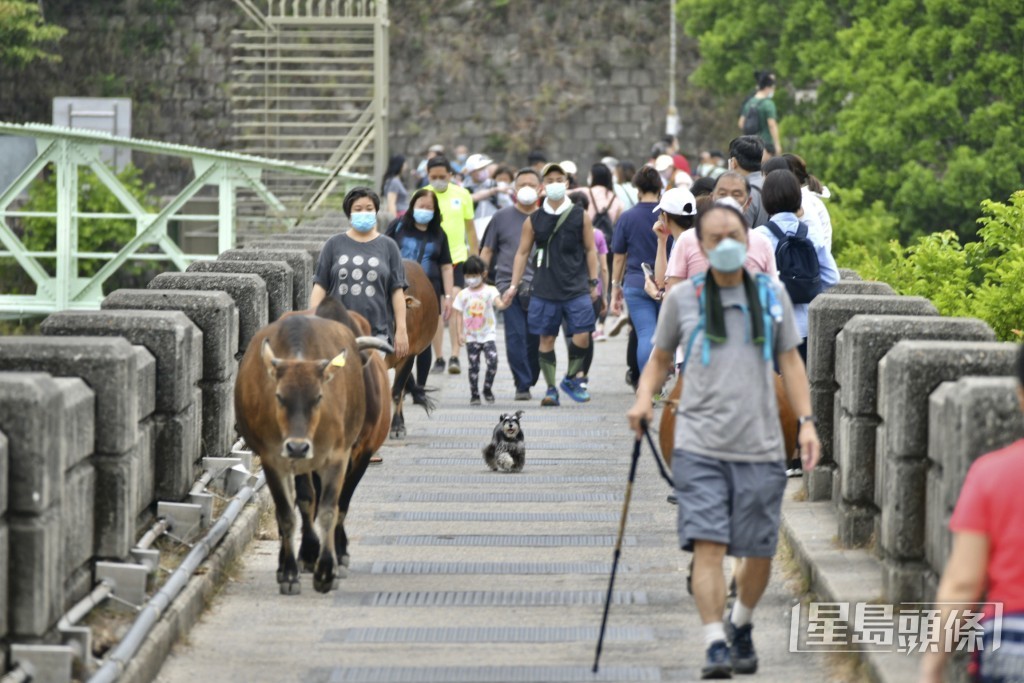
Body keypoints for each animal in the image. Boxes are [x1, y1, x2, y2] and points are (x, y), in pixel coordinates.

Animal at [235, 305, 391, 593]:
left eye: (320, 396)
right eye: (279, 396)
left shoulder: (358, 454)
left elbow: (339, 505)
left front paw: (335, 557)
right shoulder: (283, 457)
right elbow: (304, 502)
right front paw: (306, 556)